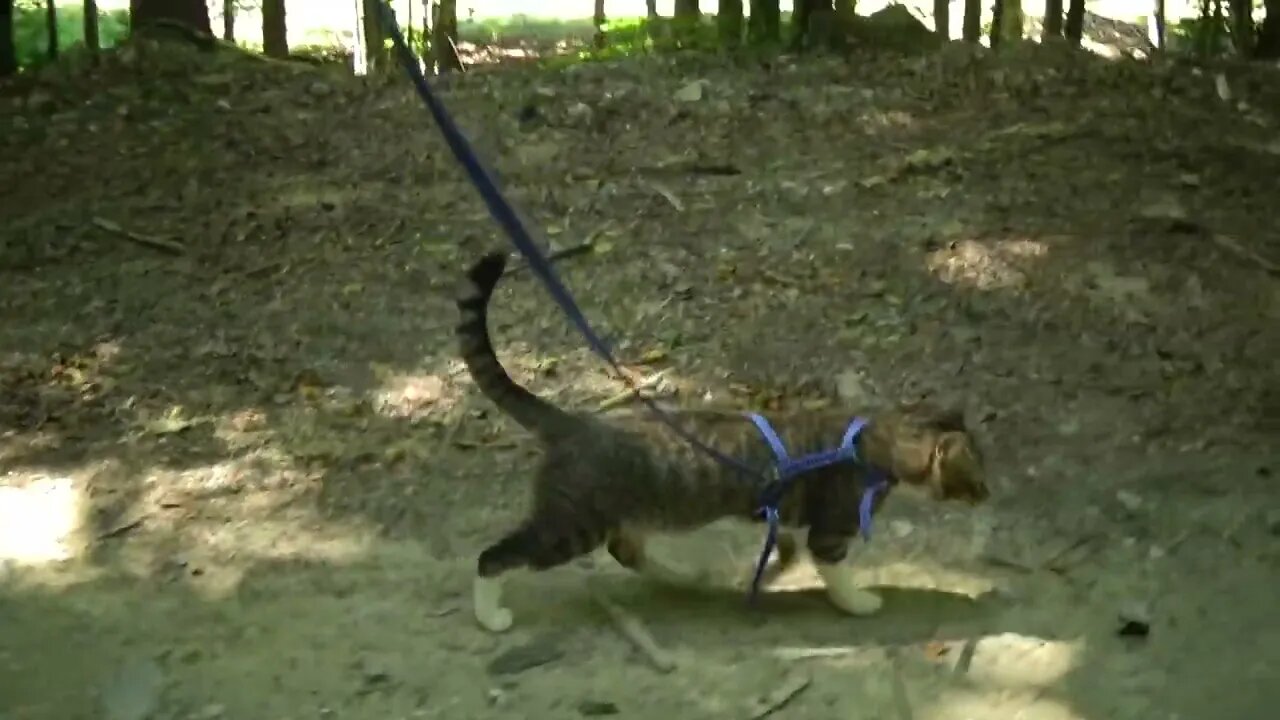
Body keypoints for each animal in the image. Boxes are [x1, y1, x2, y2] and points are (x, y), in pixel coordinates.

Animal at [458, 249, 988, 630]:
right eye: (976, 474)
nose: (987, 495)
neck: (869, 438)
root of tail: (580, 423)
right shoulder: (831, 529)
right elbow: (834, 571)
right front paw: (858, 602)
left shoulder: (786, 513)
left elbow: (784, 541)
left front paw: (775, 564)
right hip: (570, 523)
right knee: (494, 558)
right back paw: (489, 614)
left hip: (629, 511)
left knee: (626, 551)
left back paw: (686, 578)